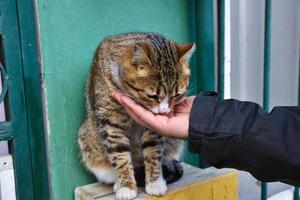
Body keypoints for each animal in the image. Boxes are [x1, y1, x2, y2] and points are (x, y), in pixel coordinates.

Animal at [77, 32, 195, 199]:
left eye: (176, 95)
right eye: (152, 96)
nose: (164, 111)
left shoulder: (152, 129)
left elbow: (153, 152)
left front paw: (155, 183)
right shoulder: (111, 122)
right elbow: (120, 155)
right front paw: (126, 186)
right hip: (87, 138)